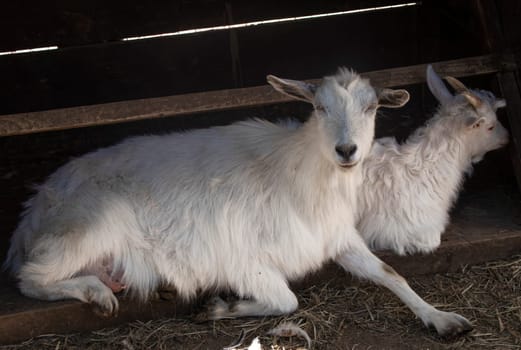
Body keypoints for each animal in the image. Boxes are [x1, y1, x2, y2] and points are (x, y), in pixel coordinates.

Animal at [3, 67, 468, 338]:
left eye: (371, 108)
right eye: (319, 107)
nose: (347, 150)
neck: (298, 174)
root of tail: (33, 210)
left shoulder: (337, 238)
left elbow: (390, 272)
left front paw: (442, 319)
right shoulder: (244, 259)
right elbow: (287, 301)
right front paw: (217, 308)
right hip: (90, 227)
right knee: (31, 278)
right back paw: (96, 293)